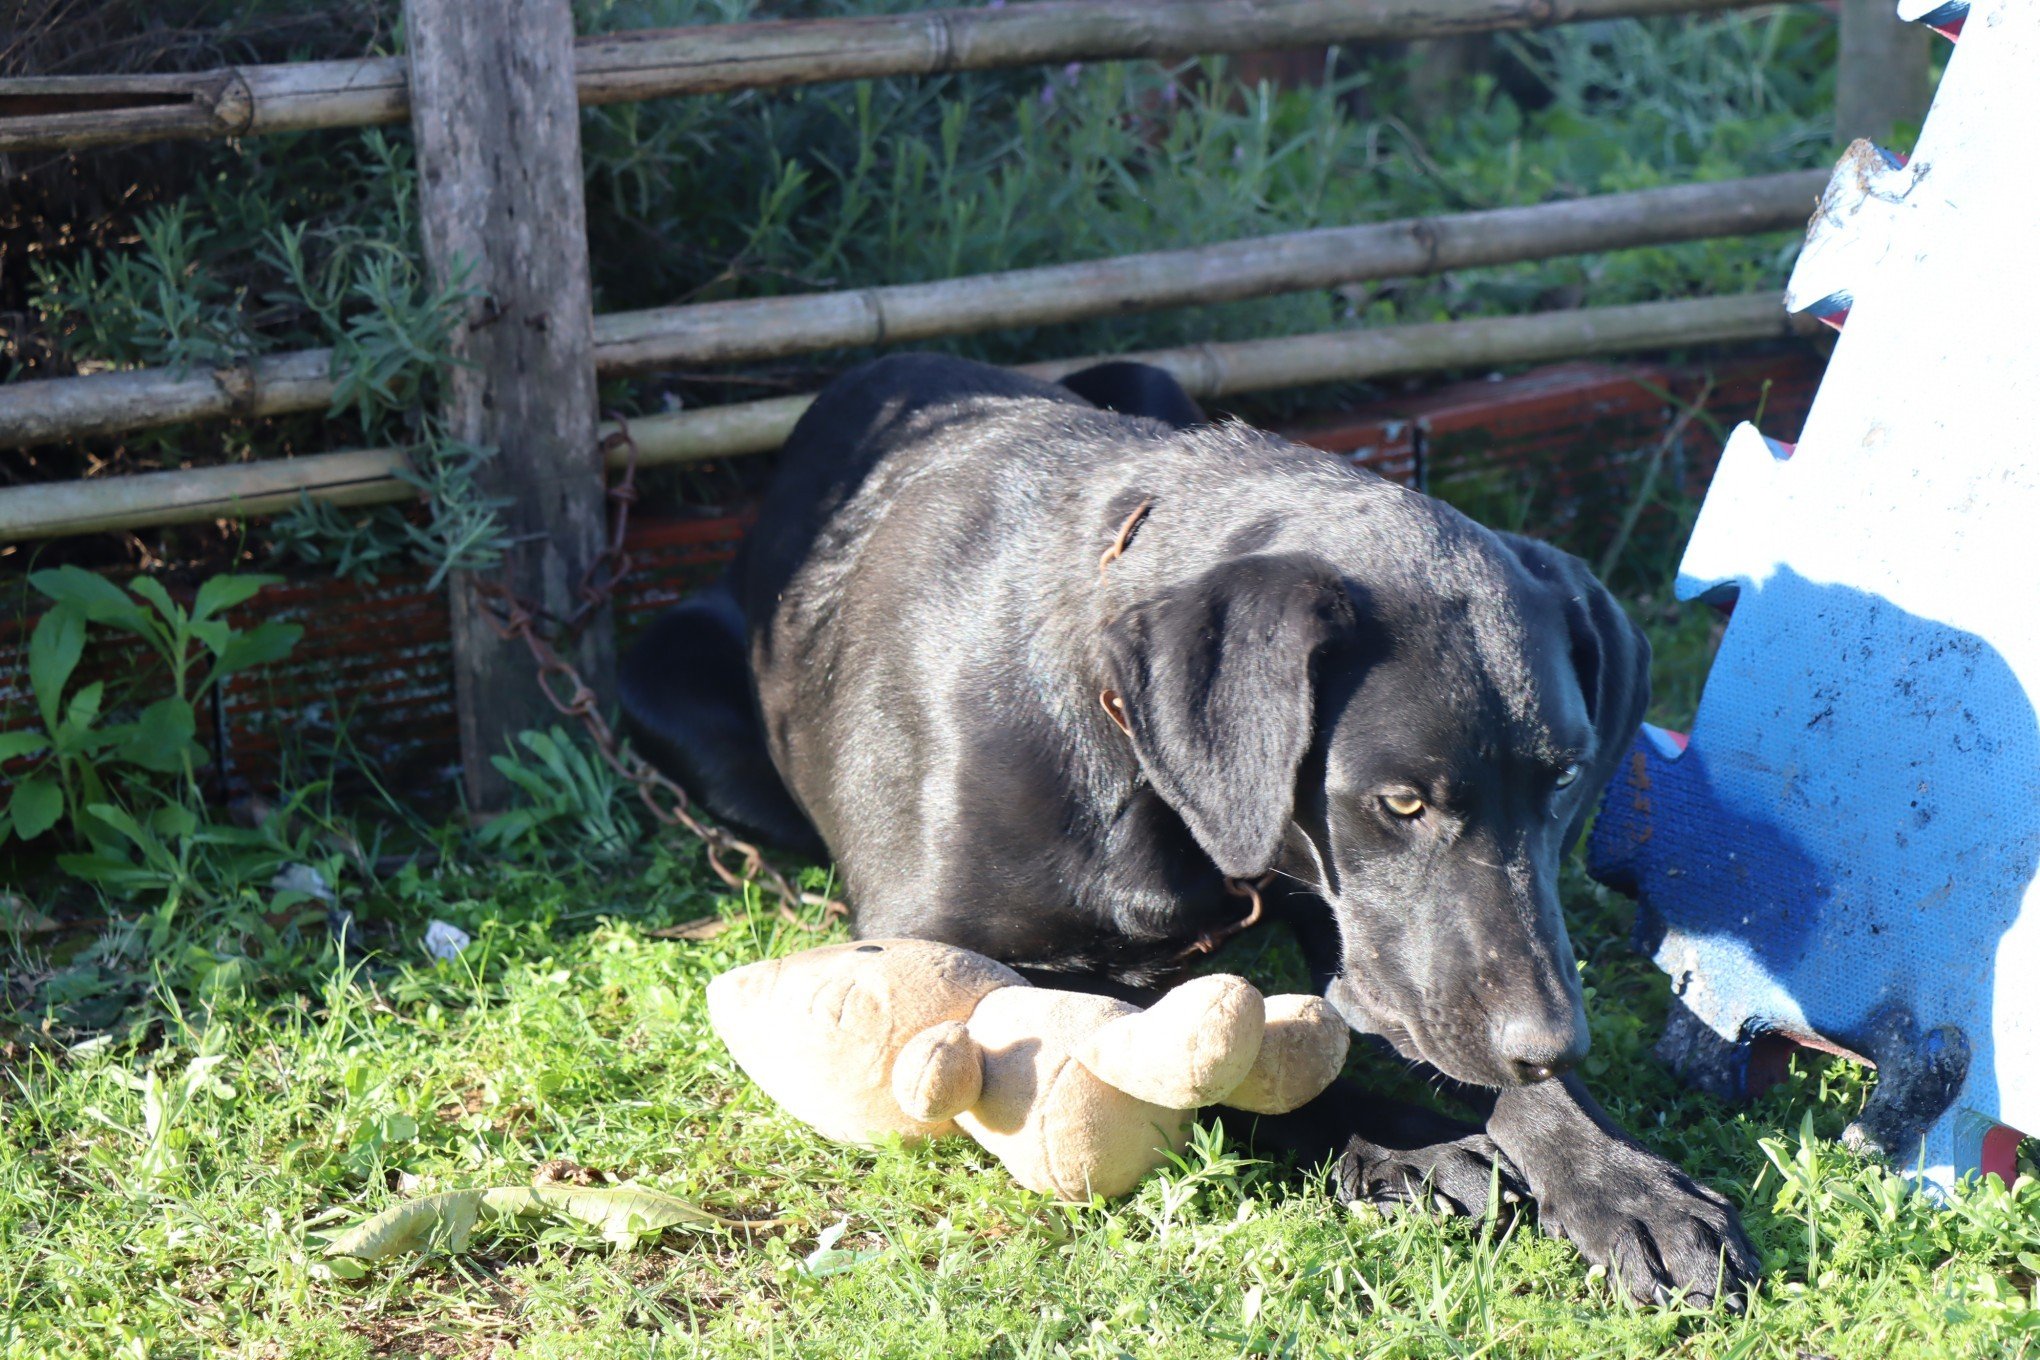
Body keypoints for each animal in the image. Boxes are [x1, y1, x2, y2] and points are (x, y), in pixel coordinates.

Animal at [628, 354, 1762, 1304]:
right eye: (1400, 803)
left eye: (1566, 781)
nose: (1552, 1044)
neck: (1125, 742)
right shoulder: (933, 946)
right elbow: (1187, 1048)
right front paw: (1414, 1148)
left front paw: (1622, 1179)